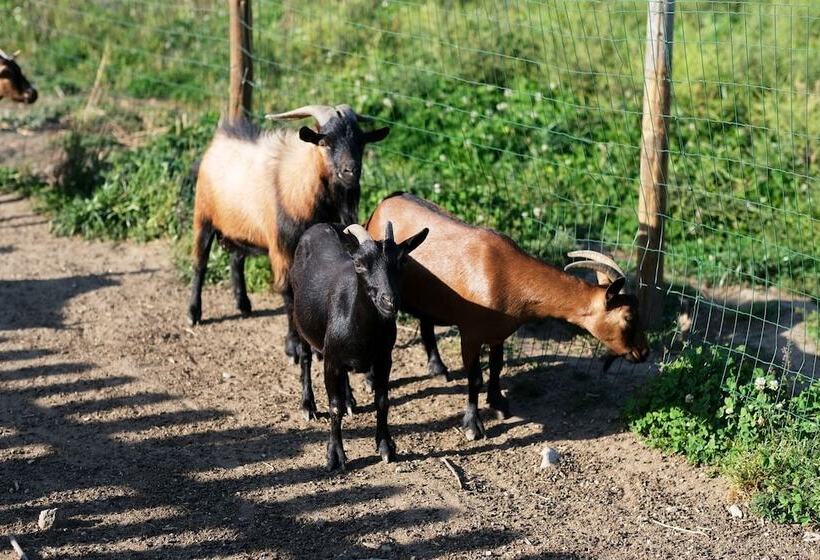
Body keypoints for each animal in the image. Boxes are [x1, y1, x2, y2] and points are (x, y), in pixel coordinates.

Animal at [187, 105, 390, 364]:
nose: (351, 171)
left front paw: (315, 347)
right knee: (200, 263)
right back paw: (194, 313)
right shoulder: (281, 247)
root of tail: (220, 138)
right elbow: (288, 292)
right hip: (203, 216)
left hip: (241, 228)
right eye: (325, 142)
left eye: (361, 141)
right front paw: (294, 345)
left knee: (236, 258)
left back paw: (243, 304)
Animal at [290, 221, 430, 470]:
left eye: (402, 262)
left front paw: (385, 447)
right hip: (300, 321)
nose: (390, 301)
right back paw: (308, 406)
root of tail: (320, 225)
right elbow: (334, 406)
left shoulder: (384, 358)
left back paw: (349, 399)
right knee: (305, 359)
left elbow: (382, 401)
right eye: (359, 264)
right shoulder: (331, 360)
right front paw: (335, 455)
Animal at [368, 192, 652, 442]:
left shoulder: (498, 332)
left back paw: (438, 369)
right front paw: (473, 425)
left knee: (425, 321)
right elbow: (474, 377)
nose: (644, 352)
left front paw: (499, 403)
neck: (504, 274)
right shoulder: (470, 334)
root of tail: (383, 204)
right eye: (628, 317)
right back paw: (374, 379)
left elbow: (496, 366)